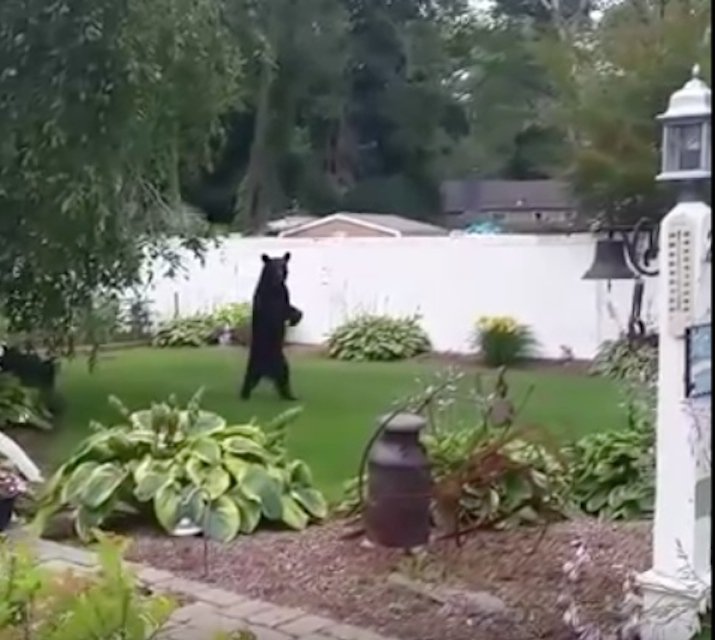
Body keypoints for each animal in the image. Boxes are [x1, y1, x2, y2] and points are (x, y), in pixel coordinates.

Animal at [240, 252, 303, 401]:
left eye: (283, 265)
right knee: (252, 379)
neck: (274, 285)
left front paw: (297, 316)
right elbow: (280, 311)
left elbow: (290, 307)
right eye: (273, 267)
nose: (280, 275)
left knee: (282, 378)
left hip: (277, 364)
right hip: (259, 364)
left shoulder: (284, 294)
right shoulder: (271, 300)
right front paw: (293, 317)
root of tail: (266, 372)